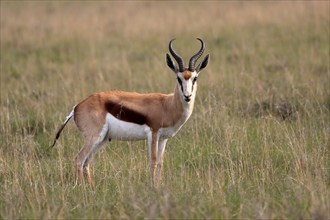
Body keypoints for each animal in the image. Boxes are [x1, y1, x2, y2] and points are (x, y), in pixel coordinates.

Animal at [52, 38, 210, 186]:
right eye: (178, 78)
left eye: (195, 78)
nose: (187, 96)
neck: (167, 105)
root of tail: (77, 106)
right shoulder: (153, 134)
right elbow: (153, 161)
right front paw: (152, 187)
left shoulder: (164, 138)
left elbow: (160, 163)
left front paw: (158, 186)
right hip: (93, 138)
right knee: (78, 160)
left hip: (102, 140)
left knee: (86, 163)